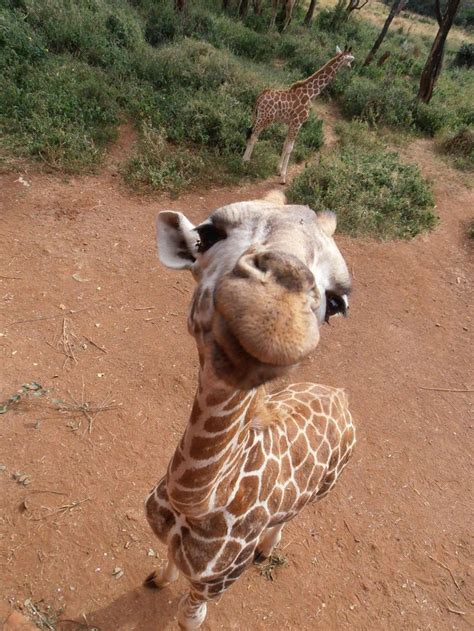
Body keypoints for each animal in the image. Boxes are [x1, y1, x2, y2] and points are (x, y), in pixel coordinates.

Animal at [144, 194, 356, 631]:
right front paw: (158, 579)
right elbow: (169, 561)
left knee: (294, 515)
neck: (197, 504)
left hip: (326, 487)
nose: (275, 314)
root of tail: (340, 396)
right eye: (207, 235)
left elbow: (189, 619)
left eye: (337, 303)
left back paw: (266, 549)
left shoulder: (215, 584)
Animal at [244, 45, 356, 184]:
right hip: (264, 118)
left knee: (251, 133)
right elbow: (290, 148)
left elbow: (285, 144)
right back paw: (245, 161)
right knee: (253, 135)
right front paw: (283, 177)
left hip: (258, 116)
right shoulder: (298, 123)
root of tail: (260, 97)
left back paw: (245, 159)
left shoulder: (291, 123)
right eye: (351, 59)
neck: (311, 93)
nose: (351, 67)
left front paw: (278, 170)